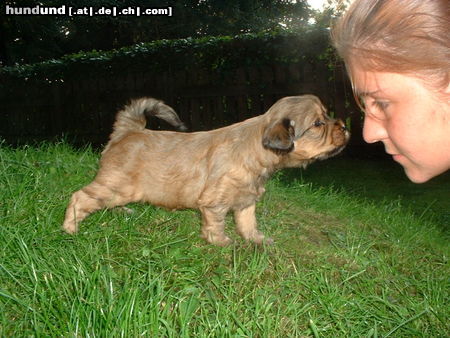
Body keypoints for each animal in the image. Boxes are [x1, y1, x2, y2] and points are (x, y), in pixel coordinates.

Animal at [61, 94, 350, 246]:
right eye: (318, 124)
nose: (345, 126)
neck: (254, 149)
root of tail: (129, 131)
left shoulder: (246, 202)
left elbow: (248, 223)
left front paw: (256, 240)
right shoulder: (215, 202)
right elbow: (216, 225)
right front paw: (222, 243)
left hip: (120, 188)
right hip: (116, 183)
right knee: (81, 197)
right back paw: (70, 229)